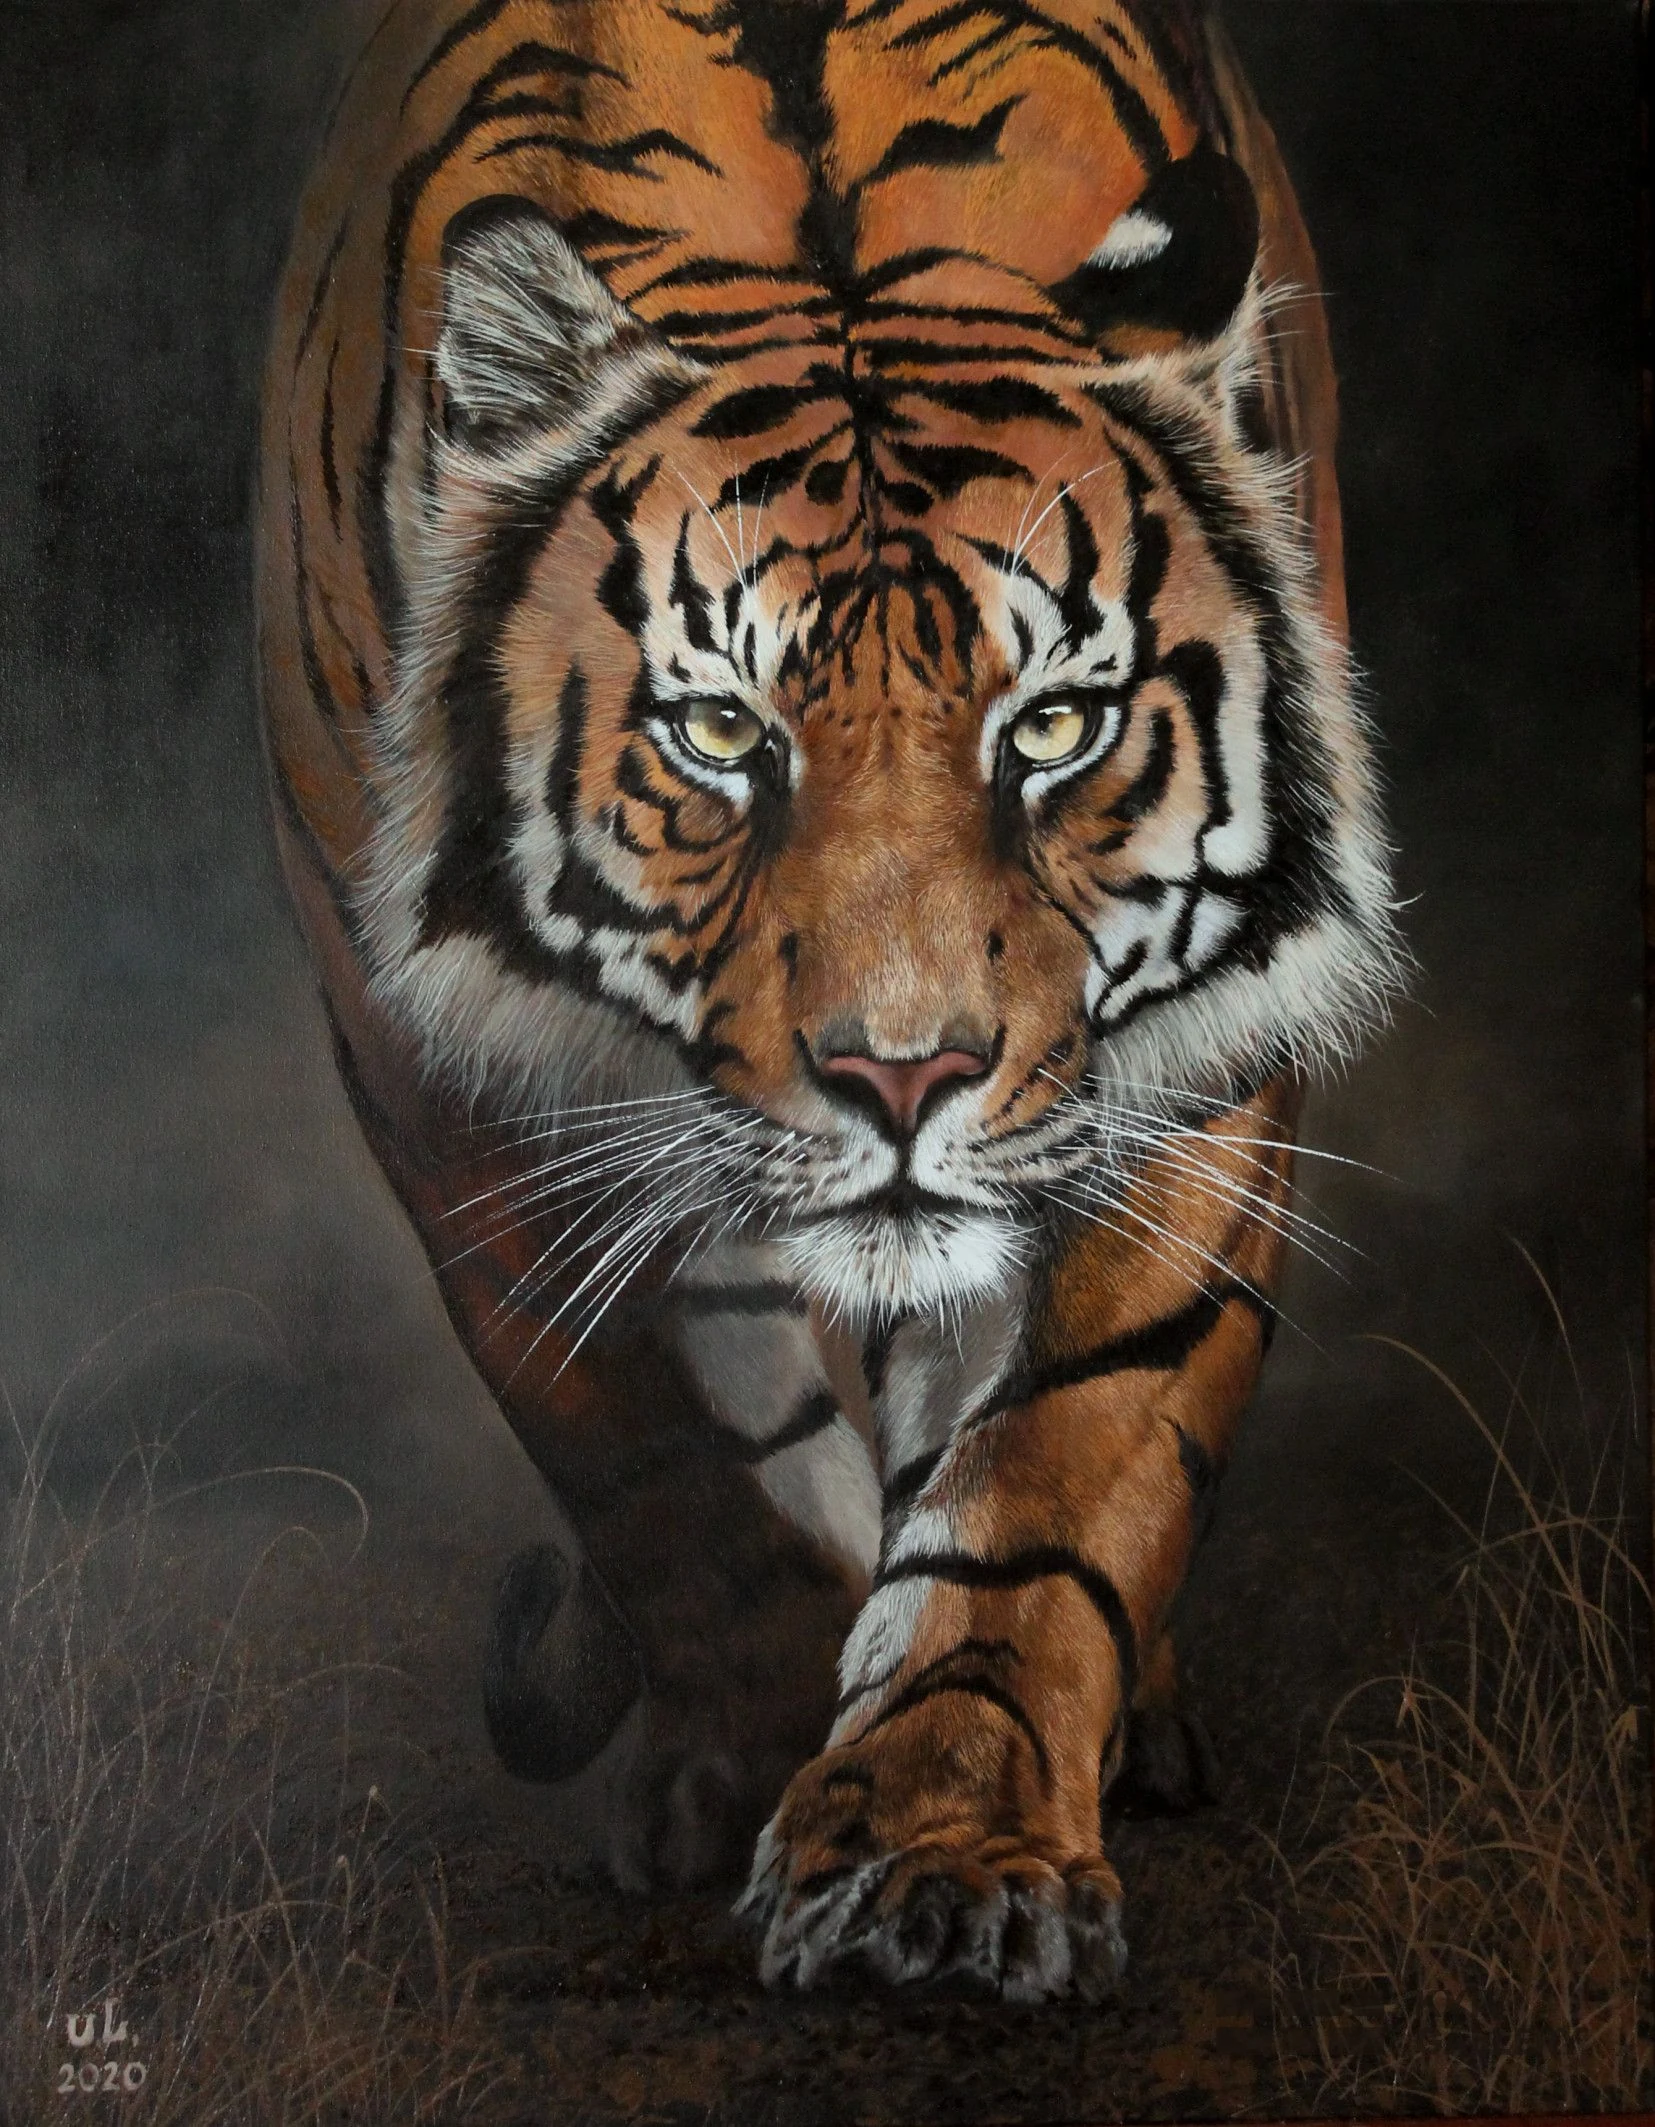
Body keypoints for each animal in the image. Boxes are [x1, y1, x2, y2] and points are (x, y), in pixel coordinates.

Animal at [258, 0, 1402, 2001]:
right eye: (723, 733)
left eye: (1055, 725)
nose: (906, 1075)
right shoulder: (447, 1078)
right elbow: (674, 1460)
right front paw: (756, 1754)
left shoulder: (1184, 1069)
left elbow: (1050, 1465)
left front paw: (944, 1846)